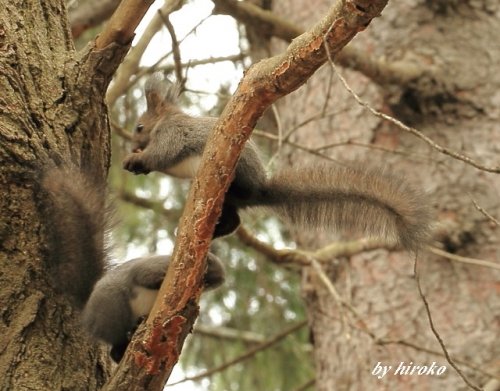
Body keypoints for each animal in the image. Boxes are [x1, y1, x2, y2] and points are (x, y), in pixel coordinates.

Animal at [40, 168, 226, 364]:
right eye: (208, 262)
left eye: (208, 284)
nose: (221, 278)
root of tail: (87, 309)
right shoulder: (150, 266)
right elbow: (145, 276)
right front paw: (160, 279)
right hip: (113, 307)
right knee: (116, 339)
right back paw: (131, 331)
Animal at [123, 74, 432, 251]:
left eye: (139, 127)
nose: (132, 144)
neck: (165, 119)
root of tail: (259, 190)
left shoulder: (173, 134)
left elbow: (163, 153)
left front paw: (136, 160)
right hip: (227, 200)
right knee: (234, 220)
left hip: (235, 177)